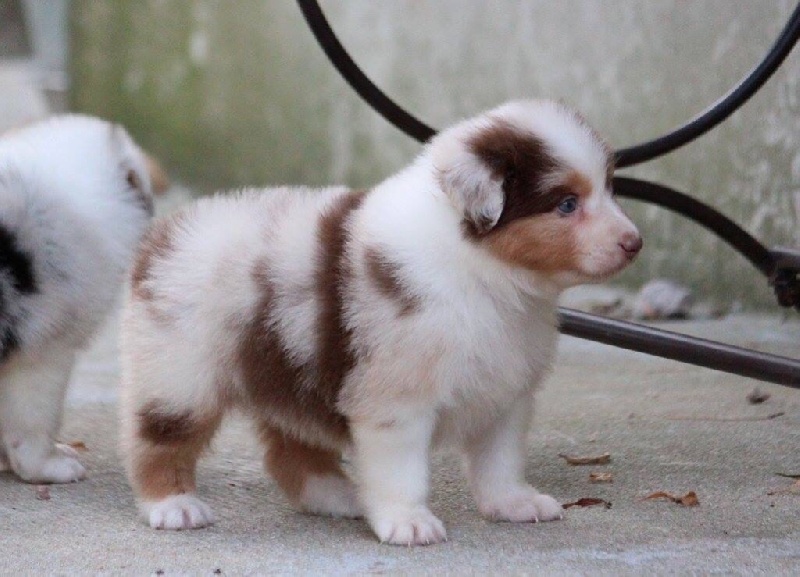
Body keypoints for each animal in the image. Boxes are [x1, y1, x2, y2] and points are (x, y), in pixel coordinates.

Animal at [120, 99, 641, 545]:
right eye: (566, 204)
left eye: (610, 188)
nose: (634, 242)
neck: (485, 273)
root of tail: (168, 229)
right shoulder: (395, 399)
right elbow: (401, 470)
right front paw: (408, 522)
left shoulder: (505, 394)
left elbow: (500, 460)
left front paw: (513, 503)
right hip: (182, 373)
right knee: (157, 440)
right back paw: (172, 505)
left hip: (288, 364)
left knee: (290, 446)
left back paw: (336, 495)